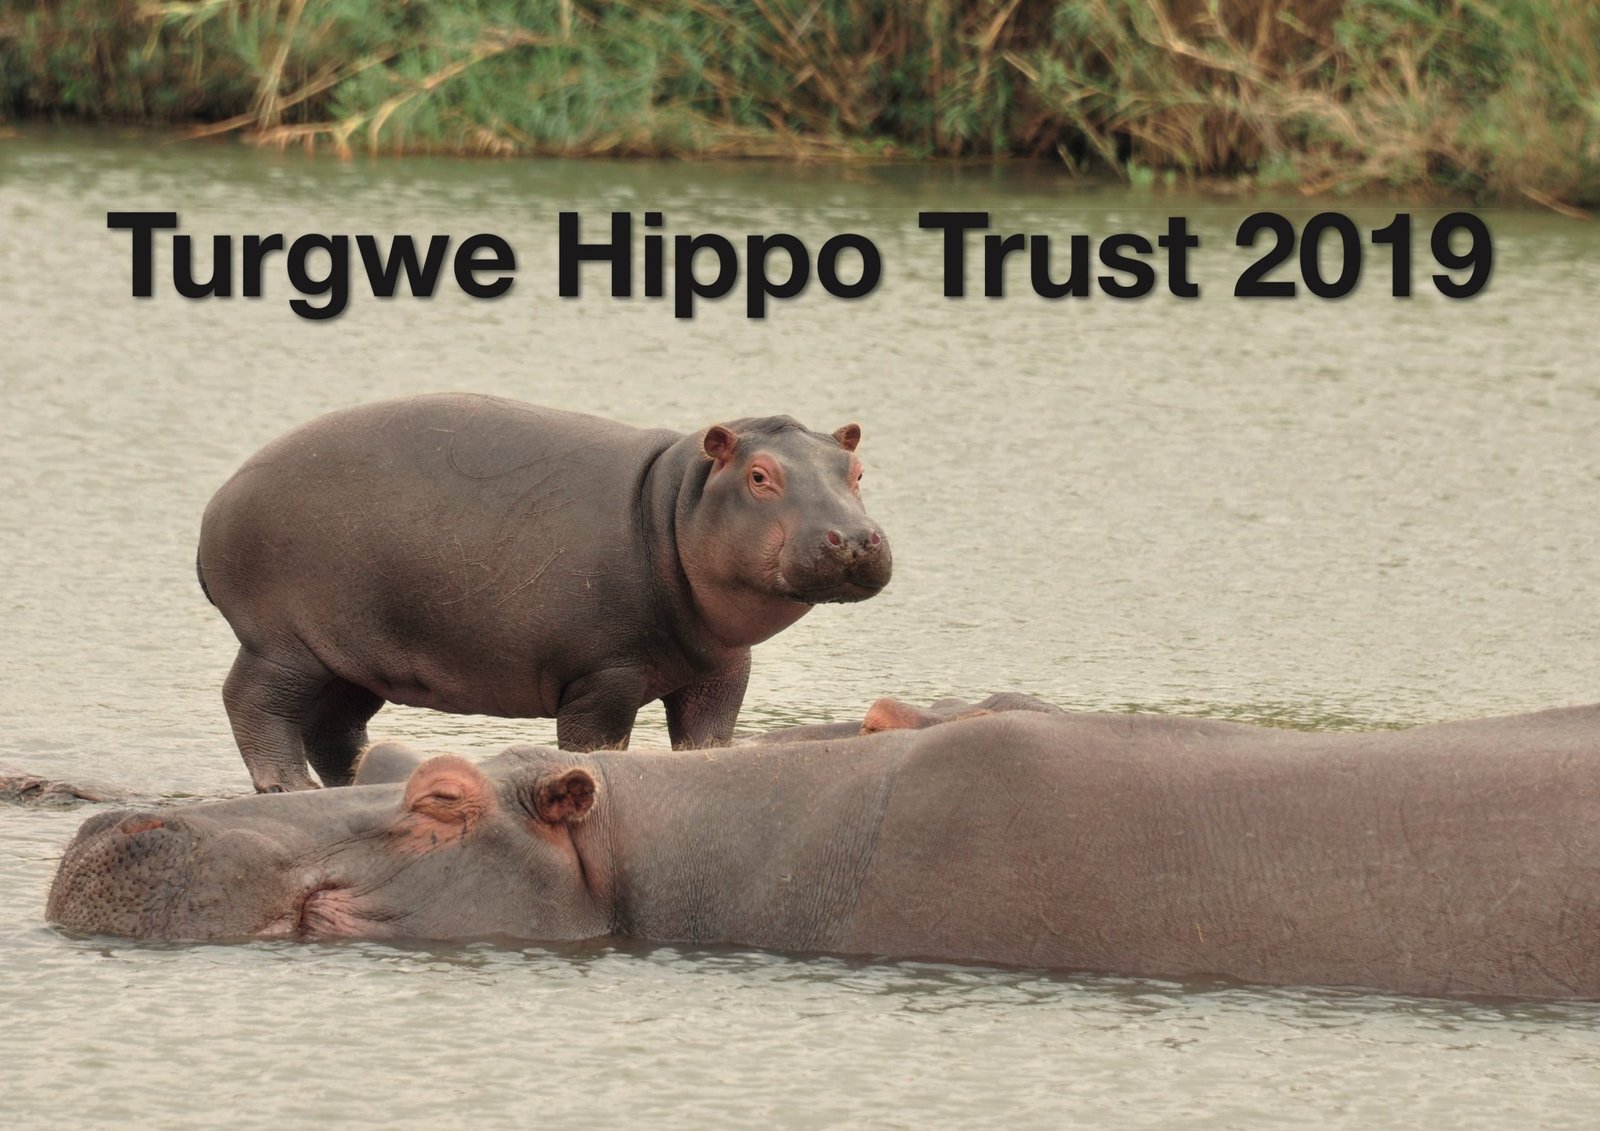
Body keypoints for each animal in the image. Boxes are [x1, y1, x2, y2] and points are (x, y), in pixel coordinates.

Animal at [197, 394, 891, 792]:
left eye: (857, 472)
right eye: (759, 476)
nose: (856, 539)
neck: (677, 501)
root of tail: (221, 493)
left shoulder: (722, 669)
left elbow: (706, 740)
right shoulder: (603, 676)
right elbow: (596, 745)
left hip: (357, 657)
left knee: (332, 726)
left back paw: (359, 781)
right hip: (284, 644)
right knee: (252, 702)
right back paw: (289, 789)